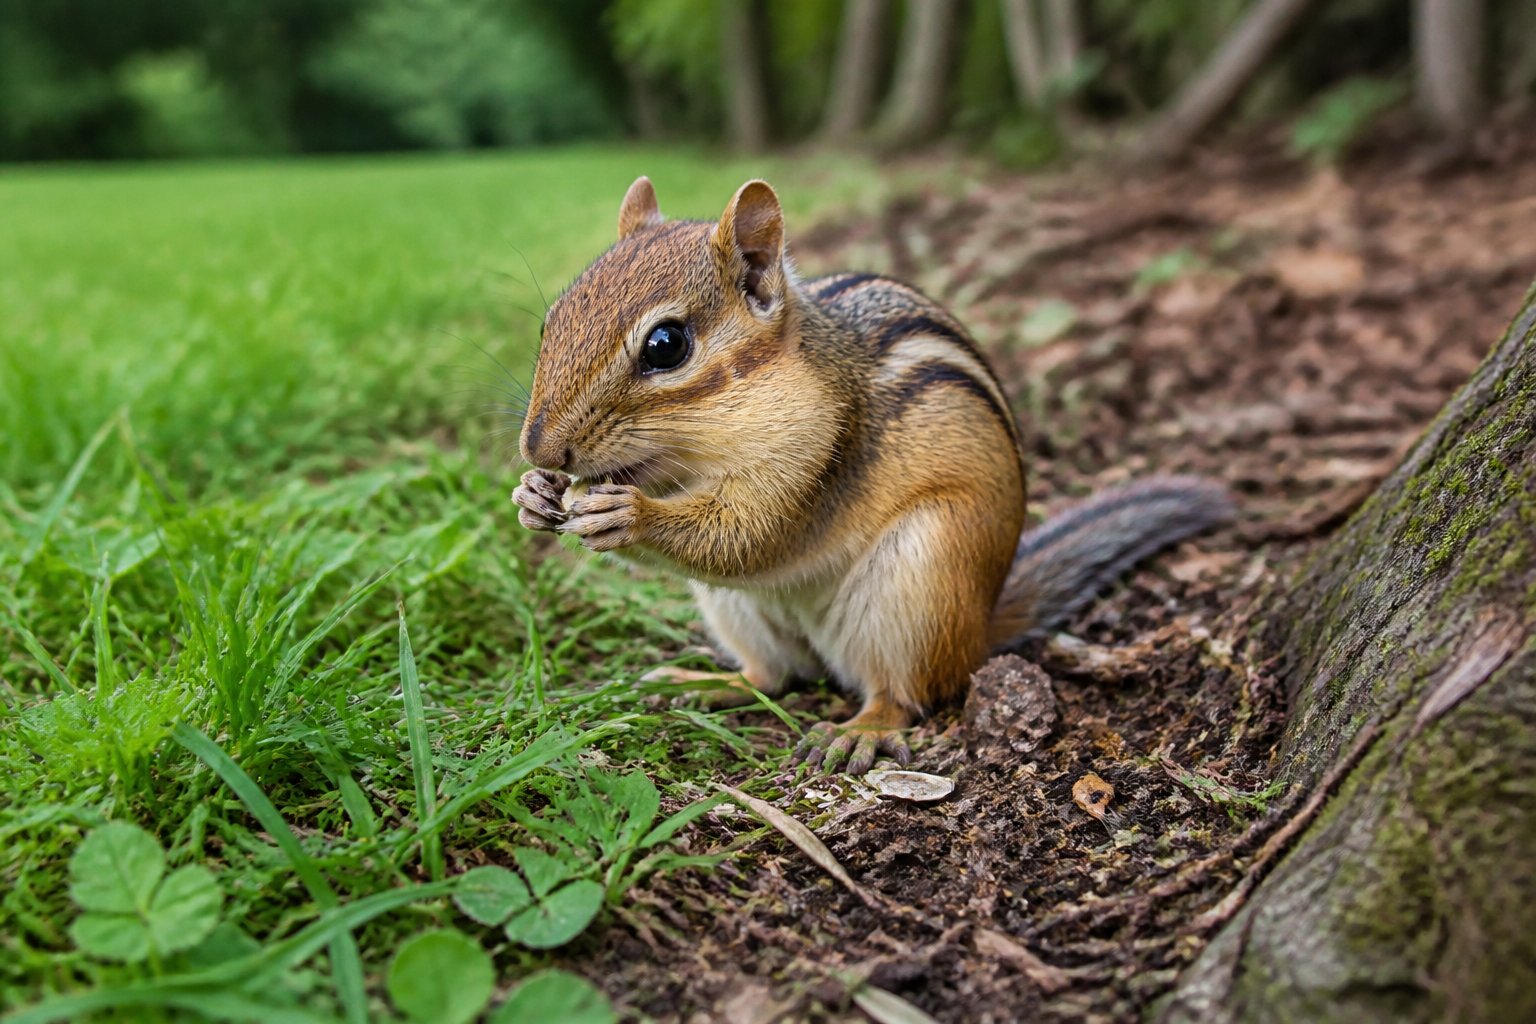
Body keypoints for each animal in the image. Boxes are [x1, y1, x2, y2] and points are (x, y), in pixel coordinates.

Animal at [513, 176, 1234, 775]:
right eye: (550, 323)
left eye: (666, 346)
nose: (540, 448)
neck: (705, 446)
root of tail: (979, 627)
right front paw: (533, 497)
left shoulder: (816, 454)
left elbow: (748, 537)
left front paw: (629, 514)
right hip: (737, 611)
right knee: (772, 677)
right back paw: (709, 682)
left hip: (918, 579)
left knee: (904, 693)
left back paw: (860, 730)